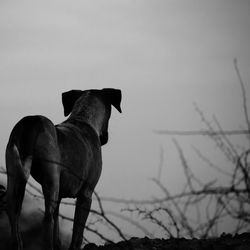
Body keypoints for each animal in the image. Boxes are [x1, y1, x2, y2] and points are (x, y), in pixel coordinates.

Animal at [5, 89, 122, 249]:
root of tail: (32, 122)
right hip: (51, 182)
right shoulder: (86, 195)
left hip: (14, 176)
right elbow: (77, 234)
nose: (105, 138)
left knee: (13, 212)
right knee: (47, 219)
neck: (83, 118)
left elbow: (57, 230)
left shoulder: (60, 195)